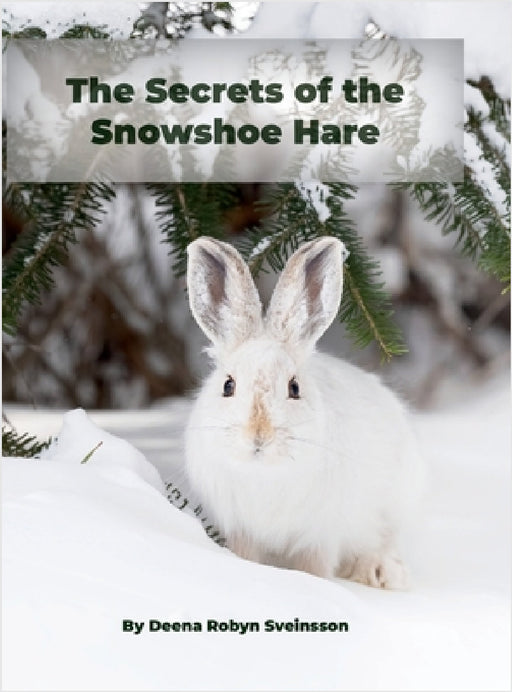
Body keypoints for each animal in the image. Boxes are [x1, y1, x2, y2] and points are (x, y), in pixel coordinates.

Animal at [184, 236, 424, 589]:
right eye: (228, 385)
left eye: (294, 388)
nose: (259, 435)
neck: (265, 473)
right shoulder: (241, 529)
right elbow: (245, 555)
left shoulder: (320, 535)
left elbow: (315, 567)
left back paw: (380, 573)